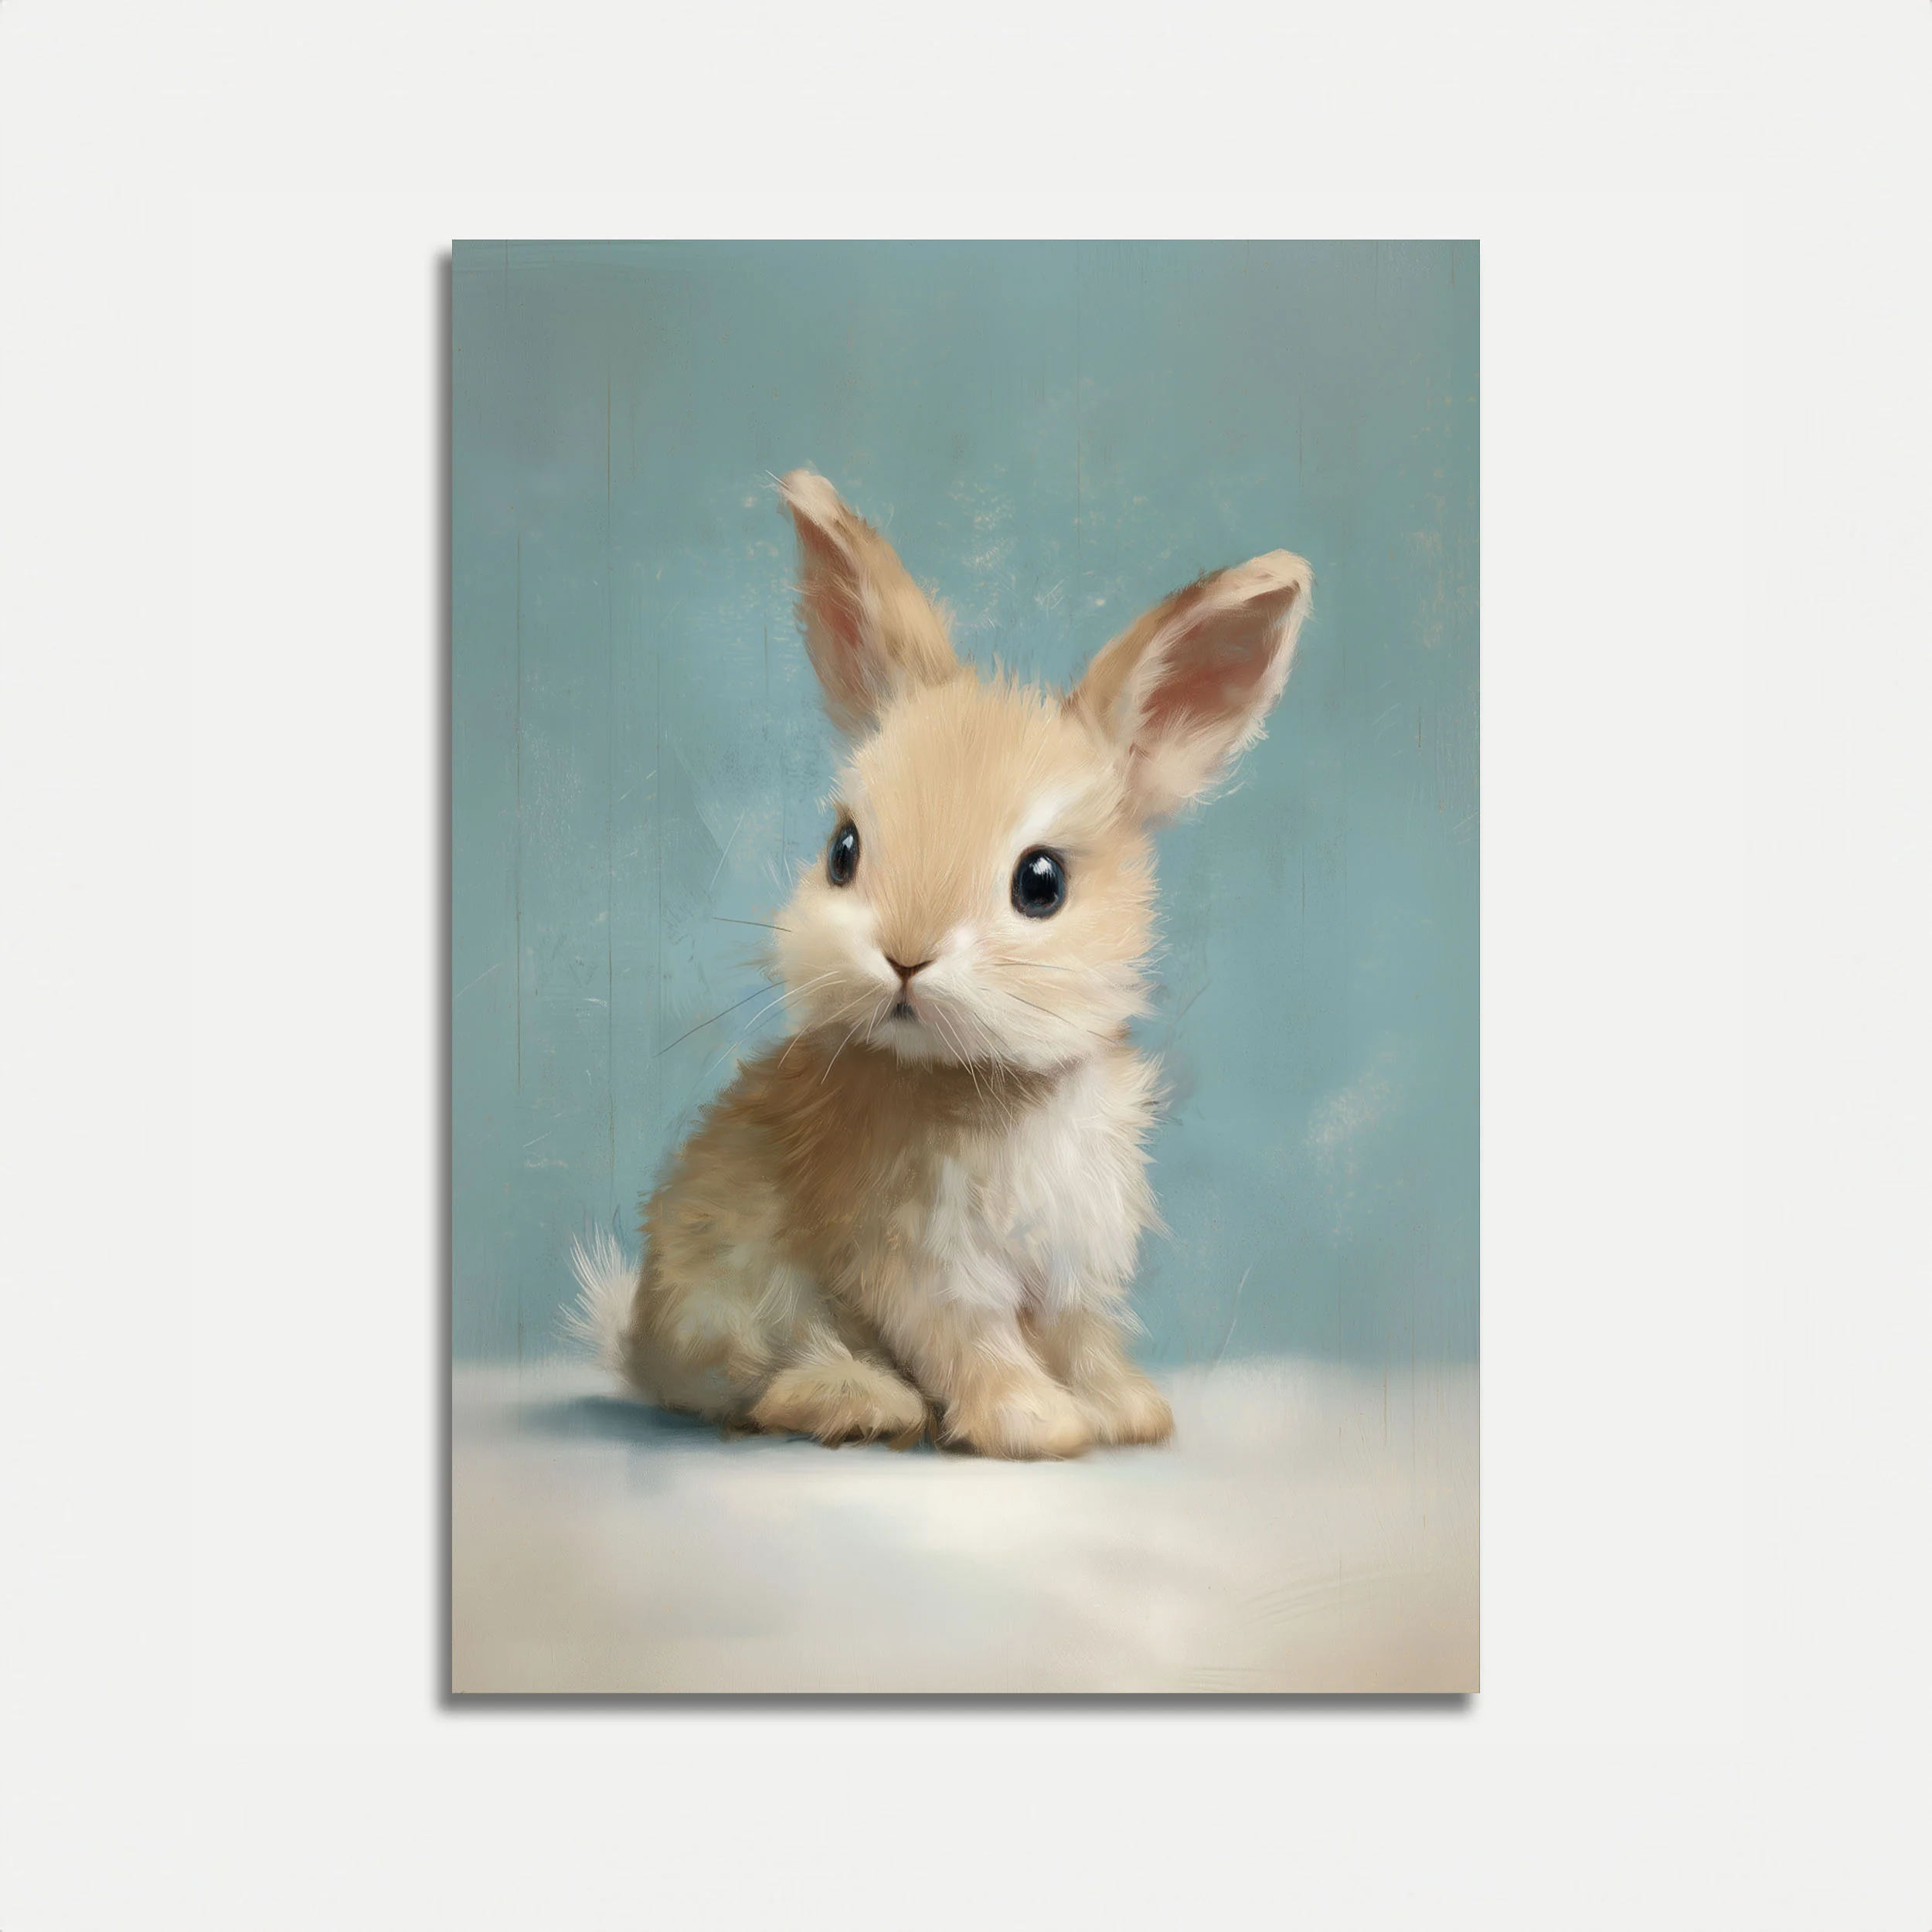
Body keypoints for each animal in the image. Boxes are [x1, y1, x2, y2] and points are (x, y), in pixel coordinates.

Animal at [572, 470, 1311, 1459]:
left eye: (1041, 883)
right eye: (843, 851)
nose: (904, 957)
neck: (994, 1082)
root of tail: (637, 1345)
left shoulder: (1075, 1265)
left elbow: (1084, 1338)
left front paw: (1127, 1411)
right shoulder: (924, 1267)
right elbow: (974, 1343)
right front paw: (1038, 1425)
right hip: (735, 1295)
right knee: (755, 1390)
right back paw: (860, 1399)